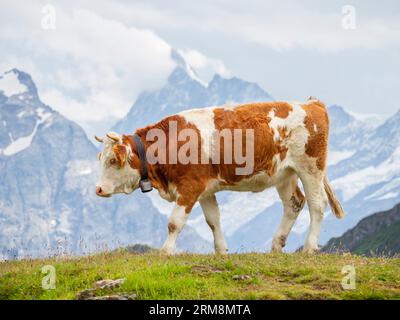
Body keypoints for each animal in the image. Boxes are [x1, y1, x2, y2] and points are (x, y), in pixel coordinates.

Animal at [94, 99, 344, 255]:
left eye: (113, 160)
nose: (98, 189)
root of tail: (311, 104)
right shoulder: (205, 190)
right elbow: (213, 221)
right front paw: (221, 250)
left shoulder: (190, 187)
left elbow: (175, 223)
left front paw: (165, 251)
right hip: (285, 173)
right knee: (294, 203)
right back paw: (276, 245)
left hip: (310, 167)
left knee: (317, 204)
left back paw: (309, 247)